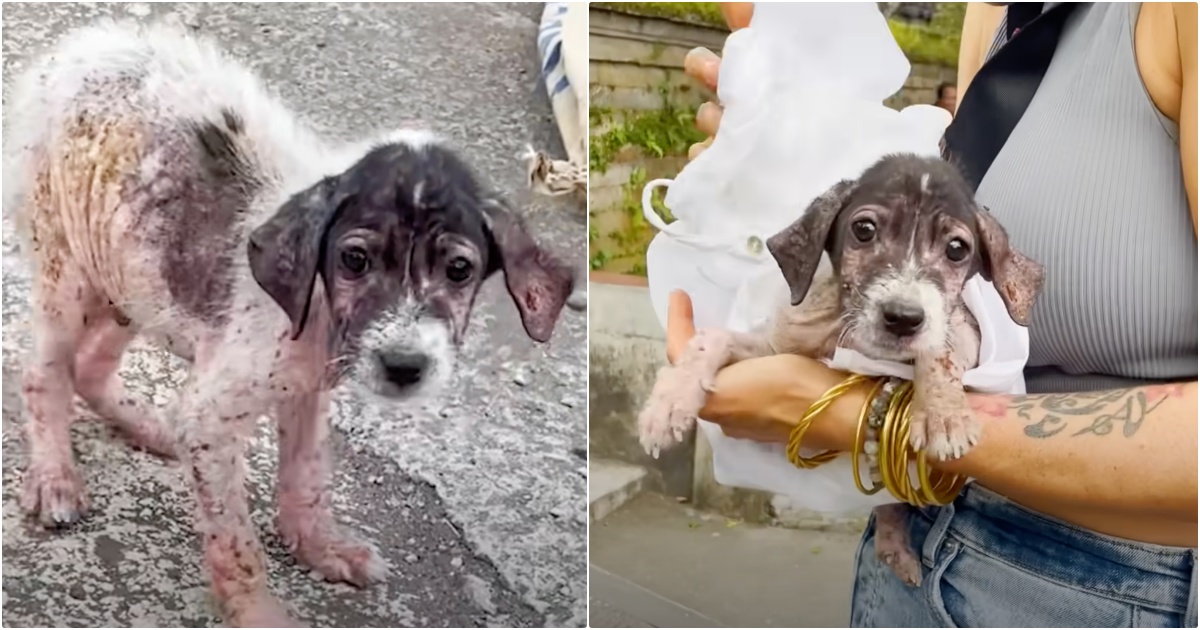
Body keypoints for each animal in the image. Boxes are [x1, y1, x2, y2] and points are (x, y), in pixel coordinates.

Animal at [3, 18, 576, 624]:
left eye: (459, 269)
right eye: (354, 259)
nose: (404, 365)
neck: (319, 313)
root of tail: (83, 47)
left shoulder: (307, 392)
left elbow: (306, 478)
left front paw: (320, 547)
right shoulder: (212, 419)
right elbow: (235, 542)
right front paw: (258, 611)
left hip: (132, 275)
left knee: (90, 365)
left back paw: (150, 426)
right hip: (68, 273)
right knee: (44, 373)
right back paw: (55, 477)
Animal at [638, 154, 1041, 588]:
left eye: (956, 249)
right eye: (864, 230)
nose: (902, 318)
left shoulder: (968, 333)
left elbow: (939, 347)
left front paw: (943, 417)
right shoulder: (776, 347)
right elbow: (711, 339)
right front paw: (668, 402)